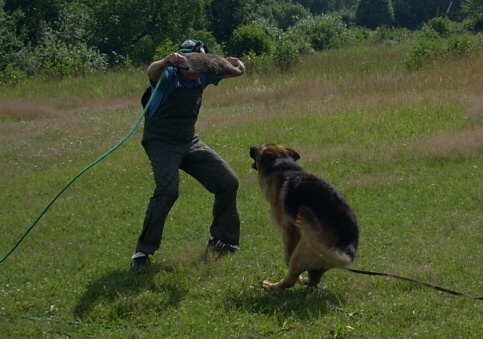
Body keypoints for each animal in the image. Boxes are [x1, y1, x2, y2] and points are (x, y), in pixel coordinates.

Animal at [250, 143, 360, 290]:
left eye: (260, 147)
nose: (250, 147)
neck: (282, 164)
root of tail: (348, 247)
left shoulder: (289, 229)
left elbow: (288, 257)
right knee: (313, 280)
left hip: (304, 246)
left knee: (291, 279)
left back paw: (272, 285)